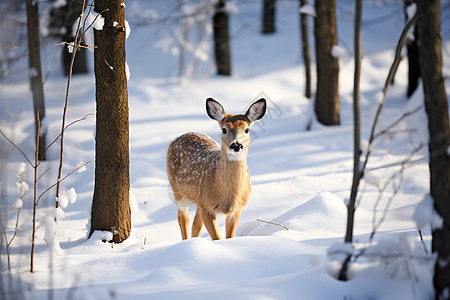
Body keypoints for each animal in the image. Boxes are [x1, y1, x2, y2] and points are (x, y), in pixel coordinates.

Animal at [168, 98, 268, 241]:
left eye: (247, 130)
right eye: (224, 130)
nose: (236, 145)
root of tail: (176, 139)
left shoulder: (237, 209)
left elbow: (229, 236)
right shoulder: (207, 207)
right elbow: (217, 238)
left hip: (198, 200)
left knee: (195, 224)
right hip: (178, 190)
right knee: (183, 218)